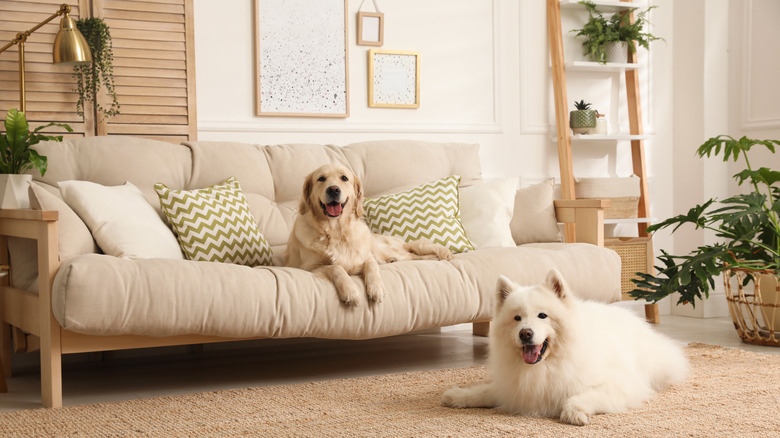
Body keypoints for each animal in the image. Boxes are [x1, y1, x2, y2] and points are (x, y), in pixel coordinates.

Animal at [442, 270, 692, 424]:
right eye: (517, 318)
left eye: (542, 316)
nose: (525, 333)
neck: (544, 367)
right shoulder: (513, 388)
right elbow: (485, 392)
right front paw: (457, 396)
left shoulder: (620, 386)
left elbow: (583, 396)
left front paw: (574, 412)